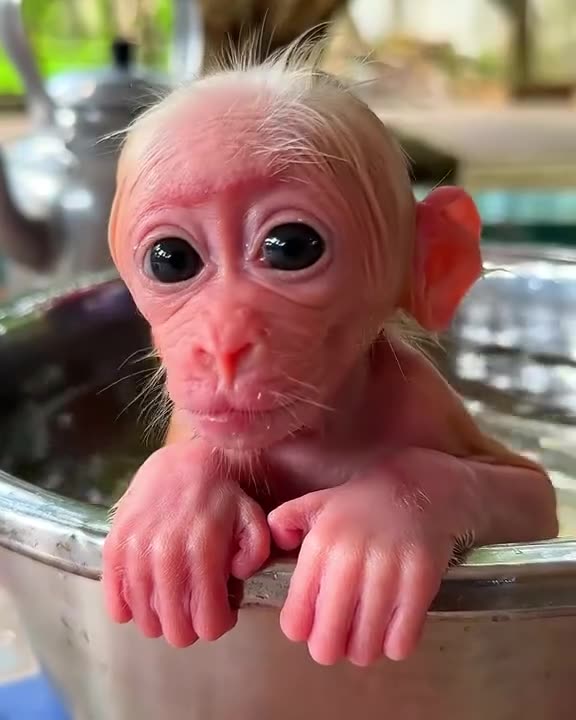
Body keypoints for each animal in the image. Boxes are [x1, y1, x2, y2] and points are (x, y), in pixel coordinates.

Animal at [102, 44, 558, 668]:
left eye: (292, 247)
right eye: (170, 259)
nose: (221, 344)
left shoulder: (424, 399)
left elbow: (533, 495)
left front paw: (379, 521)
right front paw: (172, 507)